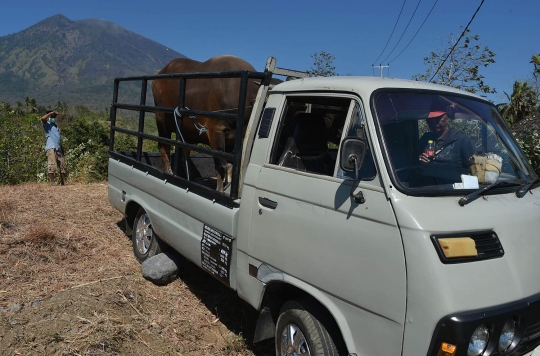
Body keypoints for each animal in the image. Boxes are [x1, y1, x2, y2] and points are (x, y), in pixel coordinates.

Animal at [152, 55, 262, 192]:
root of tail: (160, 73)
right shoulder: (215, 131)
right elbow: (221, 165)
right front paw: (220, 190)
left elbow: (230, 166)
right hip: (162, 122)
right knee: (164, 147)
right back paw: (170, 172)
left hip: (184, 132)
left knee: (184, 153)